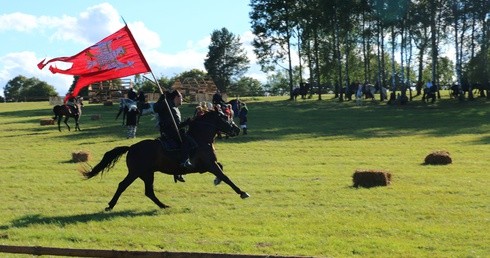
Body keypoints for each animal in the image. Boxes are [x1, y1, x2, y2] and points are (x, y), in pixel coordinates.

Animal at [82, 110, 249, 210]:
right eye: (226, 117)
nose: (236, 129)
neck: (200, 138)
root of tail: (131, 147)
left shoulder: (208, 165)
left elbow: (222, 171)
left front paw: (216, 181)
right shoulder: (210, 164)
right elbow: (226, 177)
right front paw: (242, 192)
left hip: (147, 174)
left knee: (149, 191)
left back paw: (163, 205)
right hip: (137, 172)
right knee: (123, 185)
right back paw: (111, 205)